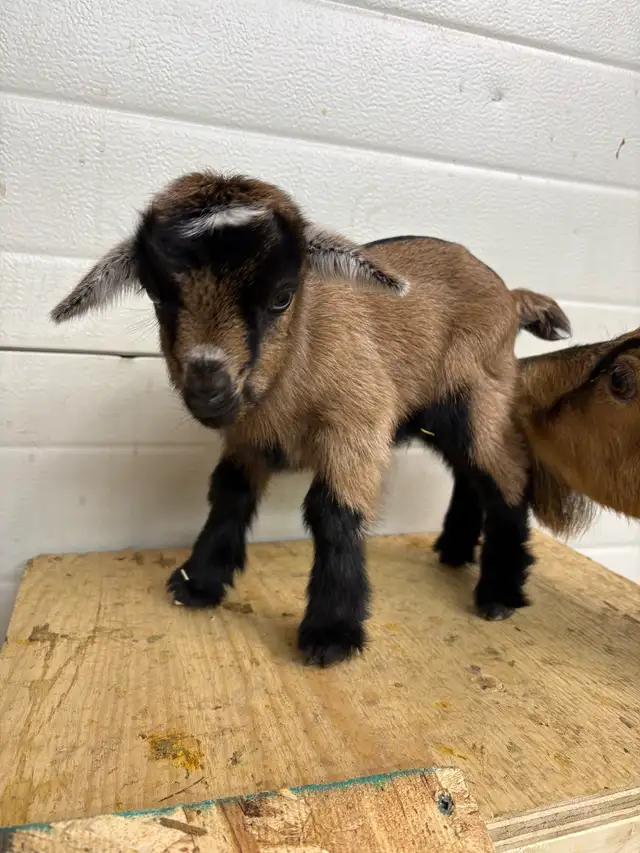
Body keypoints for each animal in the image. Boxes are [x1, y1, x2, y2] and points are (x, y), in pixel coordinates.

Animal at [51, 172, 570, 666]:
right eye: (158, 298)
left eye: (282, 297)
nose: (207, 389)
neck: (296, 363)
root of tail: (511, 296)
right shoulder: (248, 438)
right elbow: (228, 496)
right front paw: (198, 582)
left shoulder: (358, 422)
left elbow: (332, 514)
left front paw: (331, 633)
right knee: (470, 471)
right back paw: (456, 551)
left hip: (481, 391)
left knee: (505, 473)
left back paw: (500, 592)